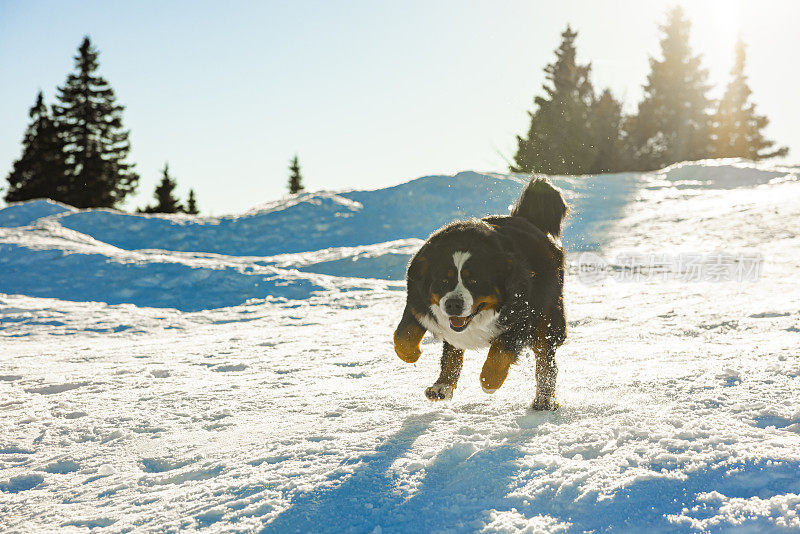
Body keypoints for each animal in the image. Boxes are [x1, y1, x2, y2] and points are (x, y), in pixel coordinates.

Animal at [394, 178, 568, 412]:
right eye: (443, 281)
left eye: (474, 281)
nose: (453, 304)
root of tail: (527, 220)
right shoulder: (417, 301)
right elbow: (402, 338)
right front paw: (413, 356)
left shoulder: (524, 315)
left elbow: (500, 351)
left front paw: (490, 381)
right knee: (453, 350)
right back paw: (442, 386)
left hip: (549, 314)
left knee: (545, 358)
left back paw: (544, 399)